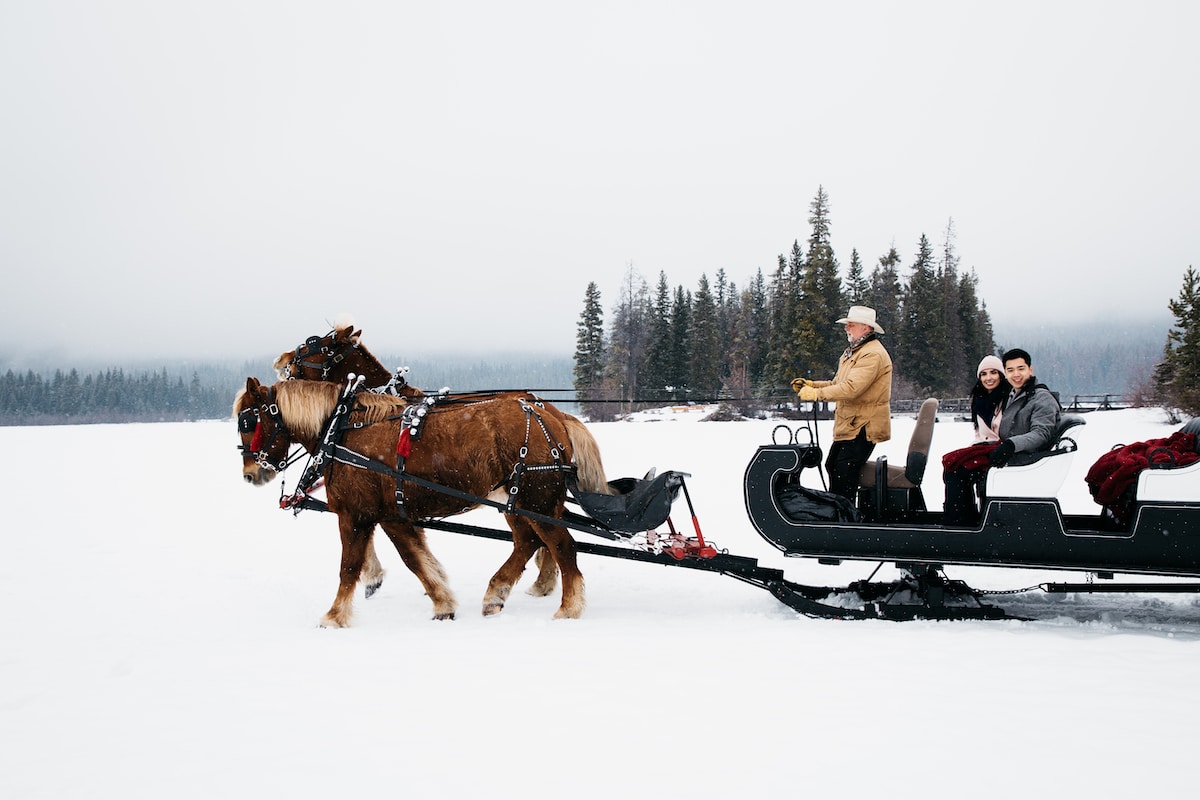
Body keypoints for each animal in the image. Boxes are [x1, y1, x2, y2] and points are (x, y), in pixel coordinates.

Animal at [234, 376, 590, 623]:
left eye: (247, 421)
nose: (250, 473)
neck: (340, 432)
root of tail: (553, 418)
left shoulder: (355, 515)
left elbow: (349, 567)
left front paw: (334, 617)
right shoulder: (393, 516)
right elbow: (415, 560)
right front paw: (442, 602)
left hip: (536, 501)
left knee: (561, 545)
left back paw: (568, 607)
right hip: (520, 502)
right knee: (529, 542)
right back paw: (497, 594)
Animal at [272, 323, 609, 594]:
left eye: (314, 343)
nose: (281, 360)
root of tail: (552, 411)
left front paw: (374, 577)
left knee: (541, 537)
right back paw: (542, 583)